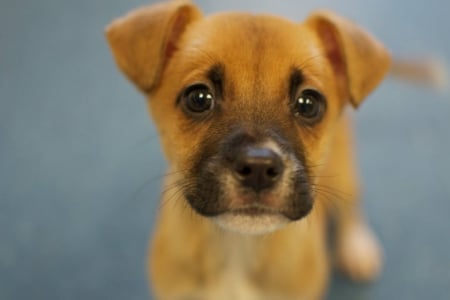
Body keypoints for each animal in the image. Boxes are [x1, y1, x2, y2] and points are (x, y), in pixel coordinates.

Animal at [105, 1, 422, 298]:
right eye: (199, 98)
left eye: (308, 103)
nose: (258, 168)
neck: (237, 248)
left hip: (344, 169)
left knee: (352, 203)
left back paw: (356, 246)